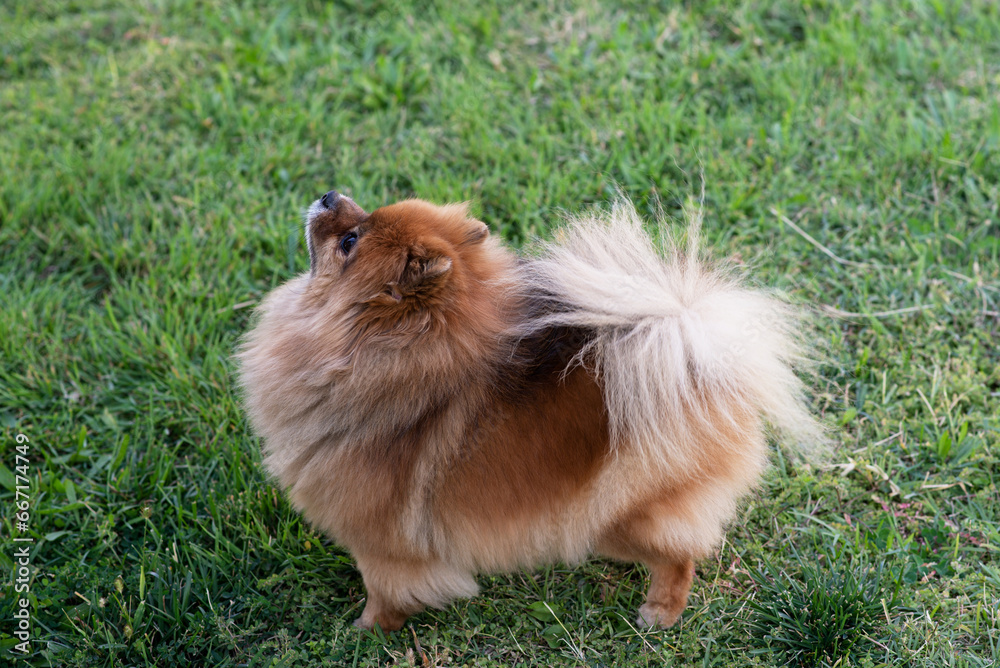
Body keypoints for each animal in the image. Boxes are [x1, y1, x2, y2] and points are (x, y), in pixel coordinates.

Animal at [236, 189, 820, 632]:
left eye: (349, 242)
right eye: (357, 217)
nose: (330, 195)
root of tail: (699, 361)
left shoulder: (382, 545)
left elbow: (384, 592)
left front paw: (366, 631)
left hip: (619, 516)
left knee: (679, 555)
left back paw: (660, 612)